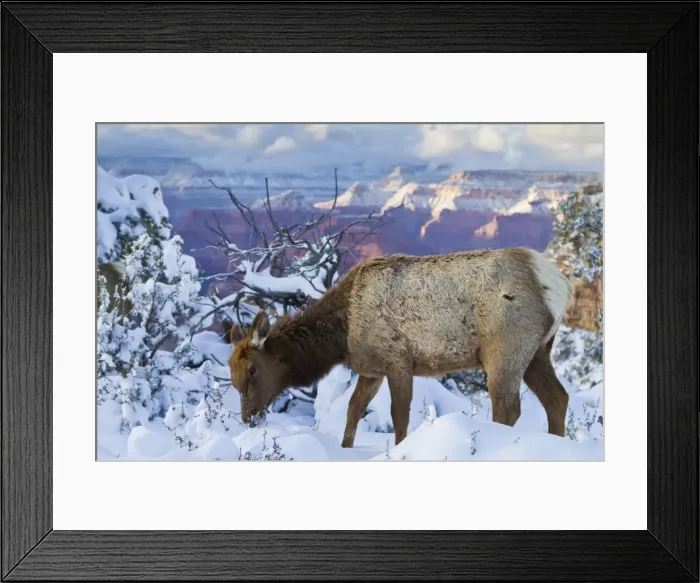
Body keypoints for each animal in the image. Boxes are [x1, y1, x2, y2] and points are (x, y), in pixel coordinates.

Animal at [227, 247, 573, 448]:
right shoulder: (372, 369)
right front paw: (345, 447)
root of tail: (559, 285)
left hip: (505, 346)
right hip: (539, 350)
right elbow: (353, 409)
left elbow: (399, 415)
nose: (249, 418)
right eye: (233, 378)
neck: (342, 333)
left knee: (507, 408)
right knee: (557, 398)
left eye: (253, 370)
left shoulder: (398, 359)